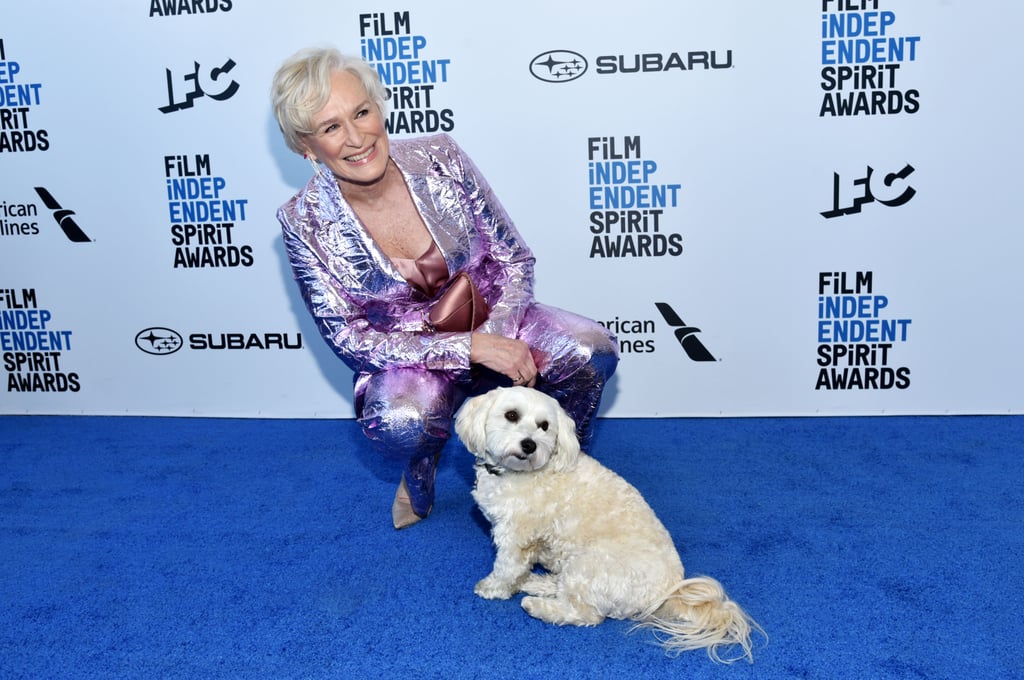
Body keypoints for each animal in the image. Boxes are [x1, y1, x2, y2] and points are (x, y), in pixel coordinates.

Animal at [456, 387, 761, 663]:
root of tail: (666, 594)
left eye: (544, 426)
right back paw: (538, 584)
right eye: (511, 415)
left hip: (589, 563)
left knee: (586, 614)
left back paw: (538, 606)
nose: (530, 444)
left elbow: (507, 568)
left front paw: (492, 588)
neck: (522, 473)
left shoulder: (516, 536)